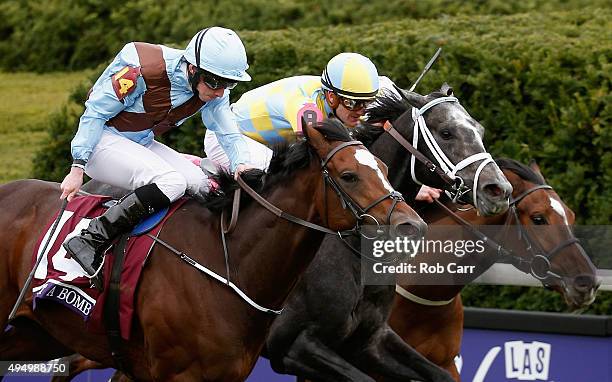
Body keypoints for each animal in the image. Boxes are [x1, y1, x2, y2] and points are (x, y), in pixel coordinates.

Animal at [262, 84, 512, 382]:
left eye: (480, 130)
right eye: (446, 132)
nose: (498, 190)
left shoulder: (371, 340)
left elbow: (441, 375)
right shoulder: (292, 345)